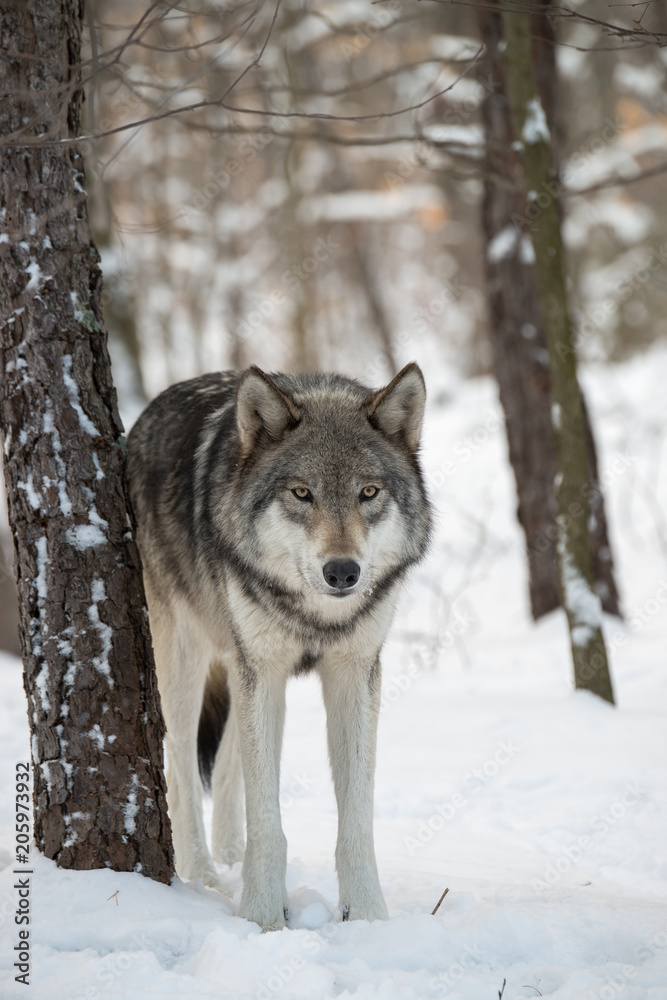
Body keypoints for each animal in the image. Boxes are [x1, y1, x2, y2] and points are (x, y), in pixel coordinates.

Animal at [126, 363, 432, 930]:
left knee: (227, 757)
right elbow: (267, 820)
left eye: (368, 492)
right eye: (302, 493)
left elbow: (356, 820)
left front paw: (368, 919)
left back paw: (228, 857)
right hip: (185, 660)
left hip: (241, 666)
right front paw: (263, 919)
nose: (343, 571)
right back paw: (202, 874)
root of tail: (144, 417)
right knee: (180, 762)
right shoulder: (262, 671)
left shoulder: (352, 673)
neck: (317, 617)